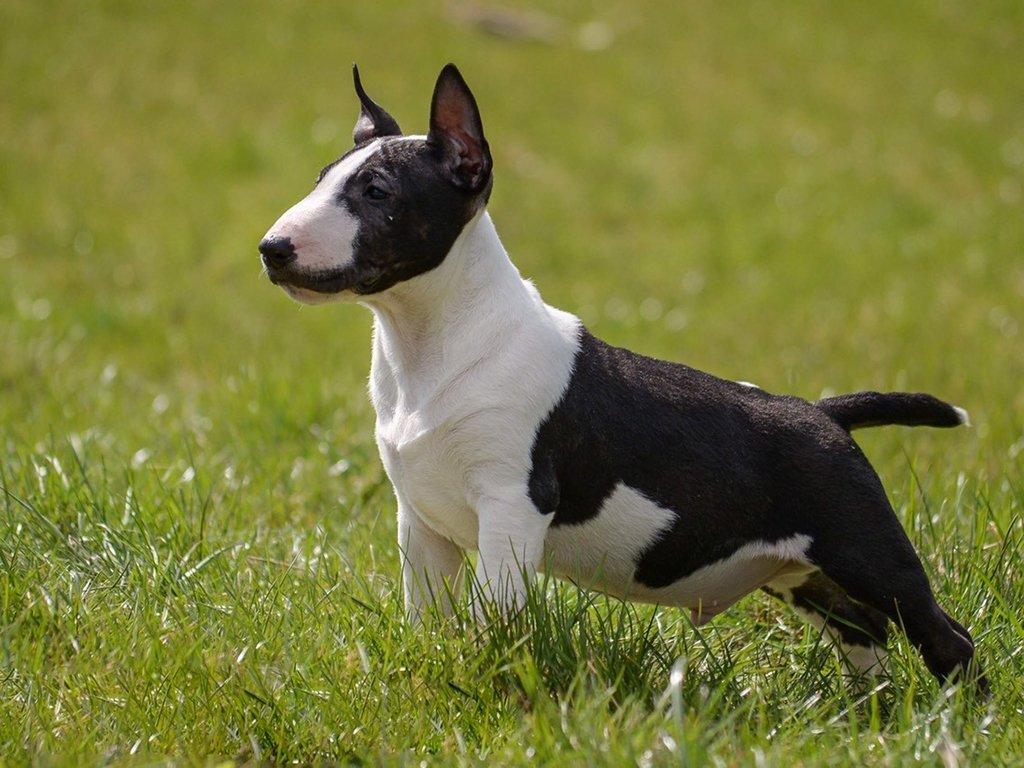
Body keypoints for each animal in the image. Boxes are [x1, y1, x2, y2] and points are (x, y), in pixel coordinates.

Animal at [260, 64, 987, 692]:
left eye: (377, 192)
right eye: (323, 178)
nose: (271, 249)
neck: (431, 345)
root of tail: (825, 412)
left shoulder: (511, 503)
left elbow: (497, 618)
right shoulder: (421, 521)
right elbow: (430, 621)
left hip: (864, 549)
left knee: (946, 638)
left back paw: (957, 724)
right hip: (804, 576)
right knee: (865, 634)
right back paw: (873, 716)